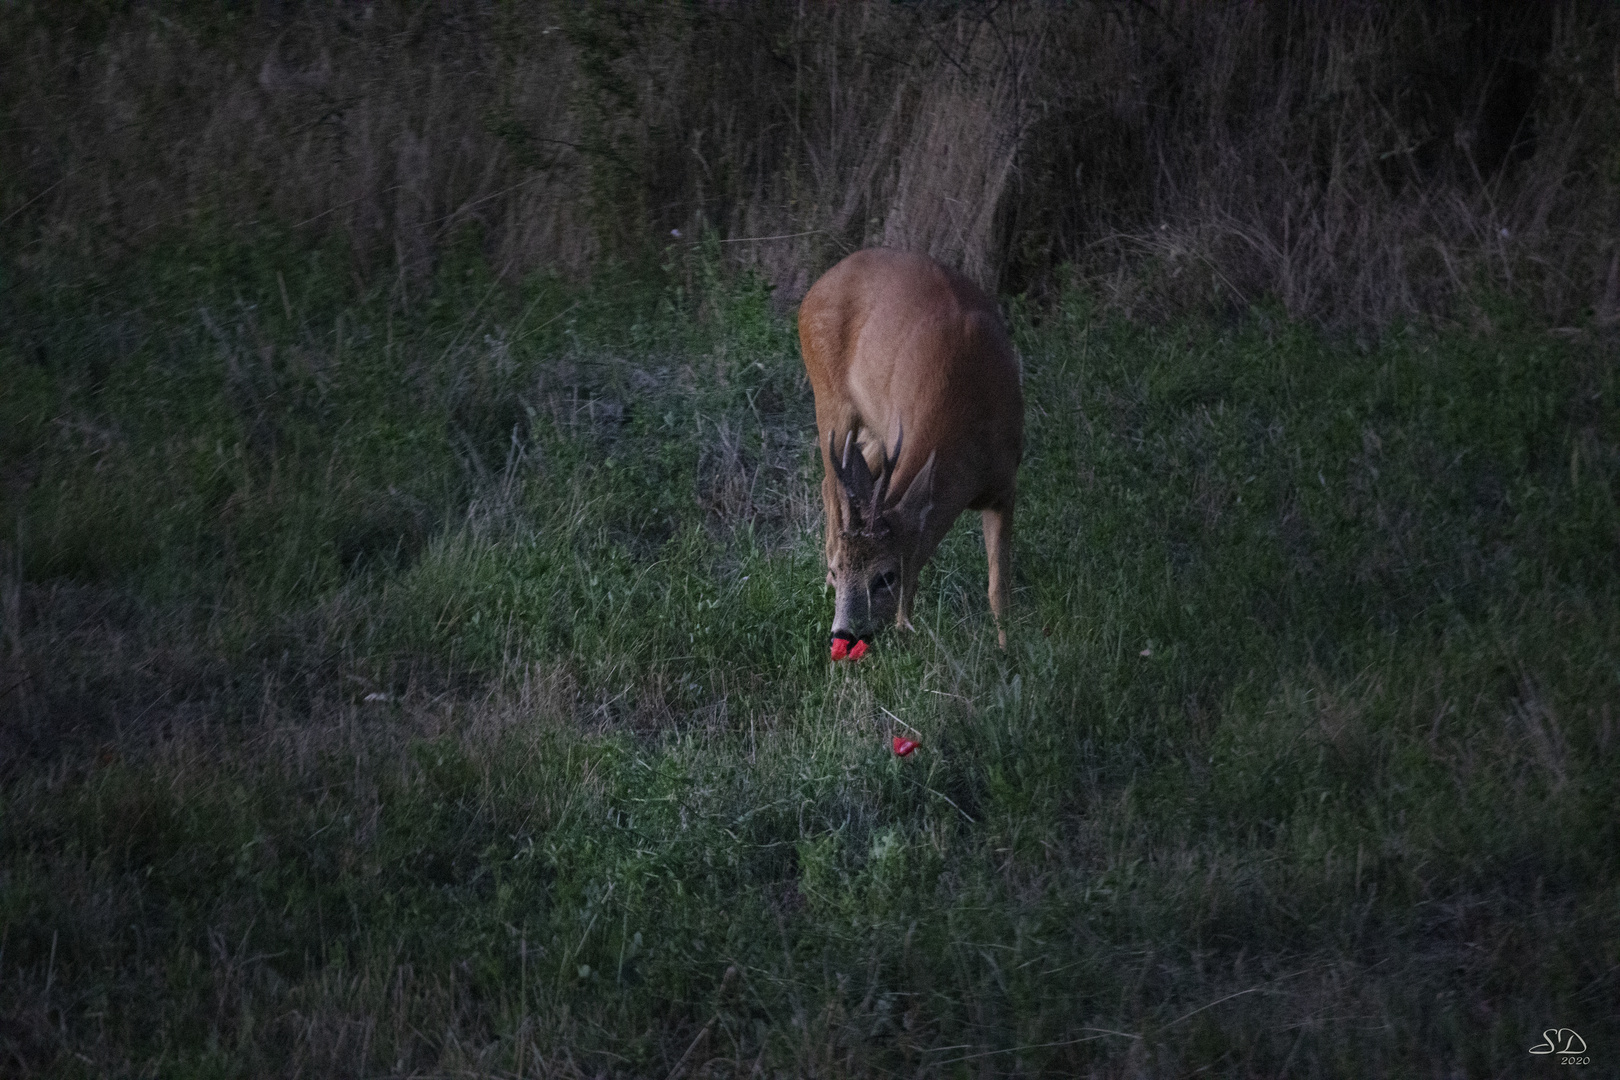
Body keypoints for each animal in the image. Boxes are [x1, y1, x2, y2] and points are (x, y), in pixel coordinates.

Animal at [797, 250, 1023, 660]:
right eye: (842, 571)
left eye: (885, 577)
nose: (843, 636)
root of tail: (816, 286)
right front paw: (906, 631)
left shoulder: (1006, 481)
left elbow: (998, 586)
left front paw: (1007, 651)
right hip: (830, 398)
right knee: (832, 485)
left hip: (870, 429)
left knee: (840, 480)